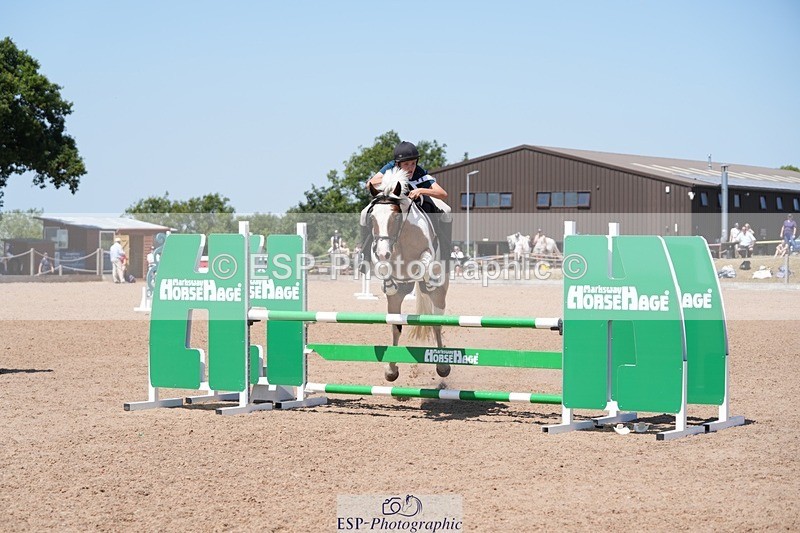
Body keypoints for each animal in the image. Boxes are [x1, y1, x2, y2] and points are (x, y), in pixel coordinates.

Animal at [366, 167, 451, 382]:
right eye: (372, 218)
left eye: (396, 217)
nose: (384, 252)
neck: (401, 236)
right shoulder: (377, 254)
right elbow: (383, 268)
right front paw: (389, 283)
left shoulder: (427, 252)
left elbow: (422, 265)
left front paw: (427, 280)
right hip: (395, 302)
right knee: (396, 326)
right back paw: (391, 370)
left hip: (440, 296)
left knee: (436, 323)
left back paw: (443, 367)